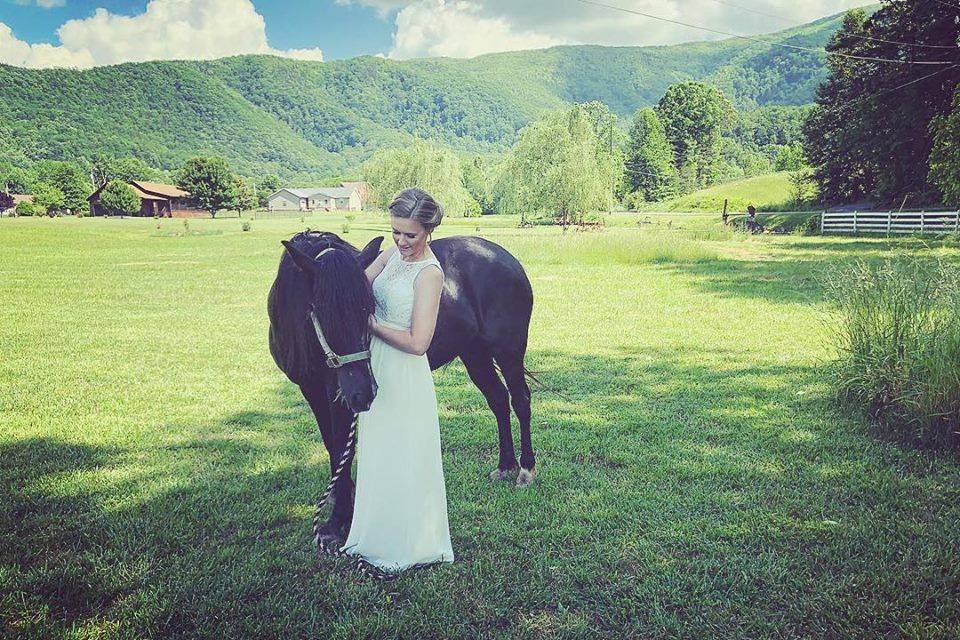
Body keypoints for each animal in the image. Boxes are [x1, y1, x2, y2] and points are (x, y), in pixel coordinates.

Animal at [270, 230, 536, 544]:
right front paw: (340, 496)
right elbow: (330, 443)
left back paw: (526, 470)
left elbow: (340, 444)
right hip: (475, 354)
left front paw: (338, 521)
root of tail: (507, 258)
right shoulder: (311, 389)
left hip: (507, 352)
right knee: (498, 400)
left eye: (369, 308)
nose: (364, 393)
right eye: (321, 312)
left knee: (520, 401)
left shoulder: (337, 392)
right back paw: (505, 466)